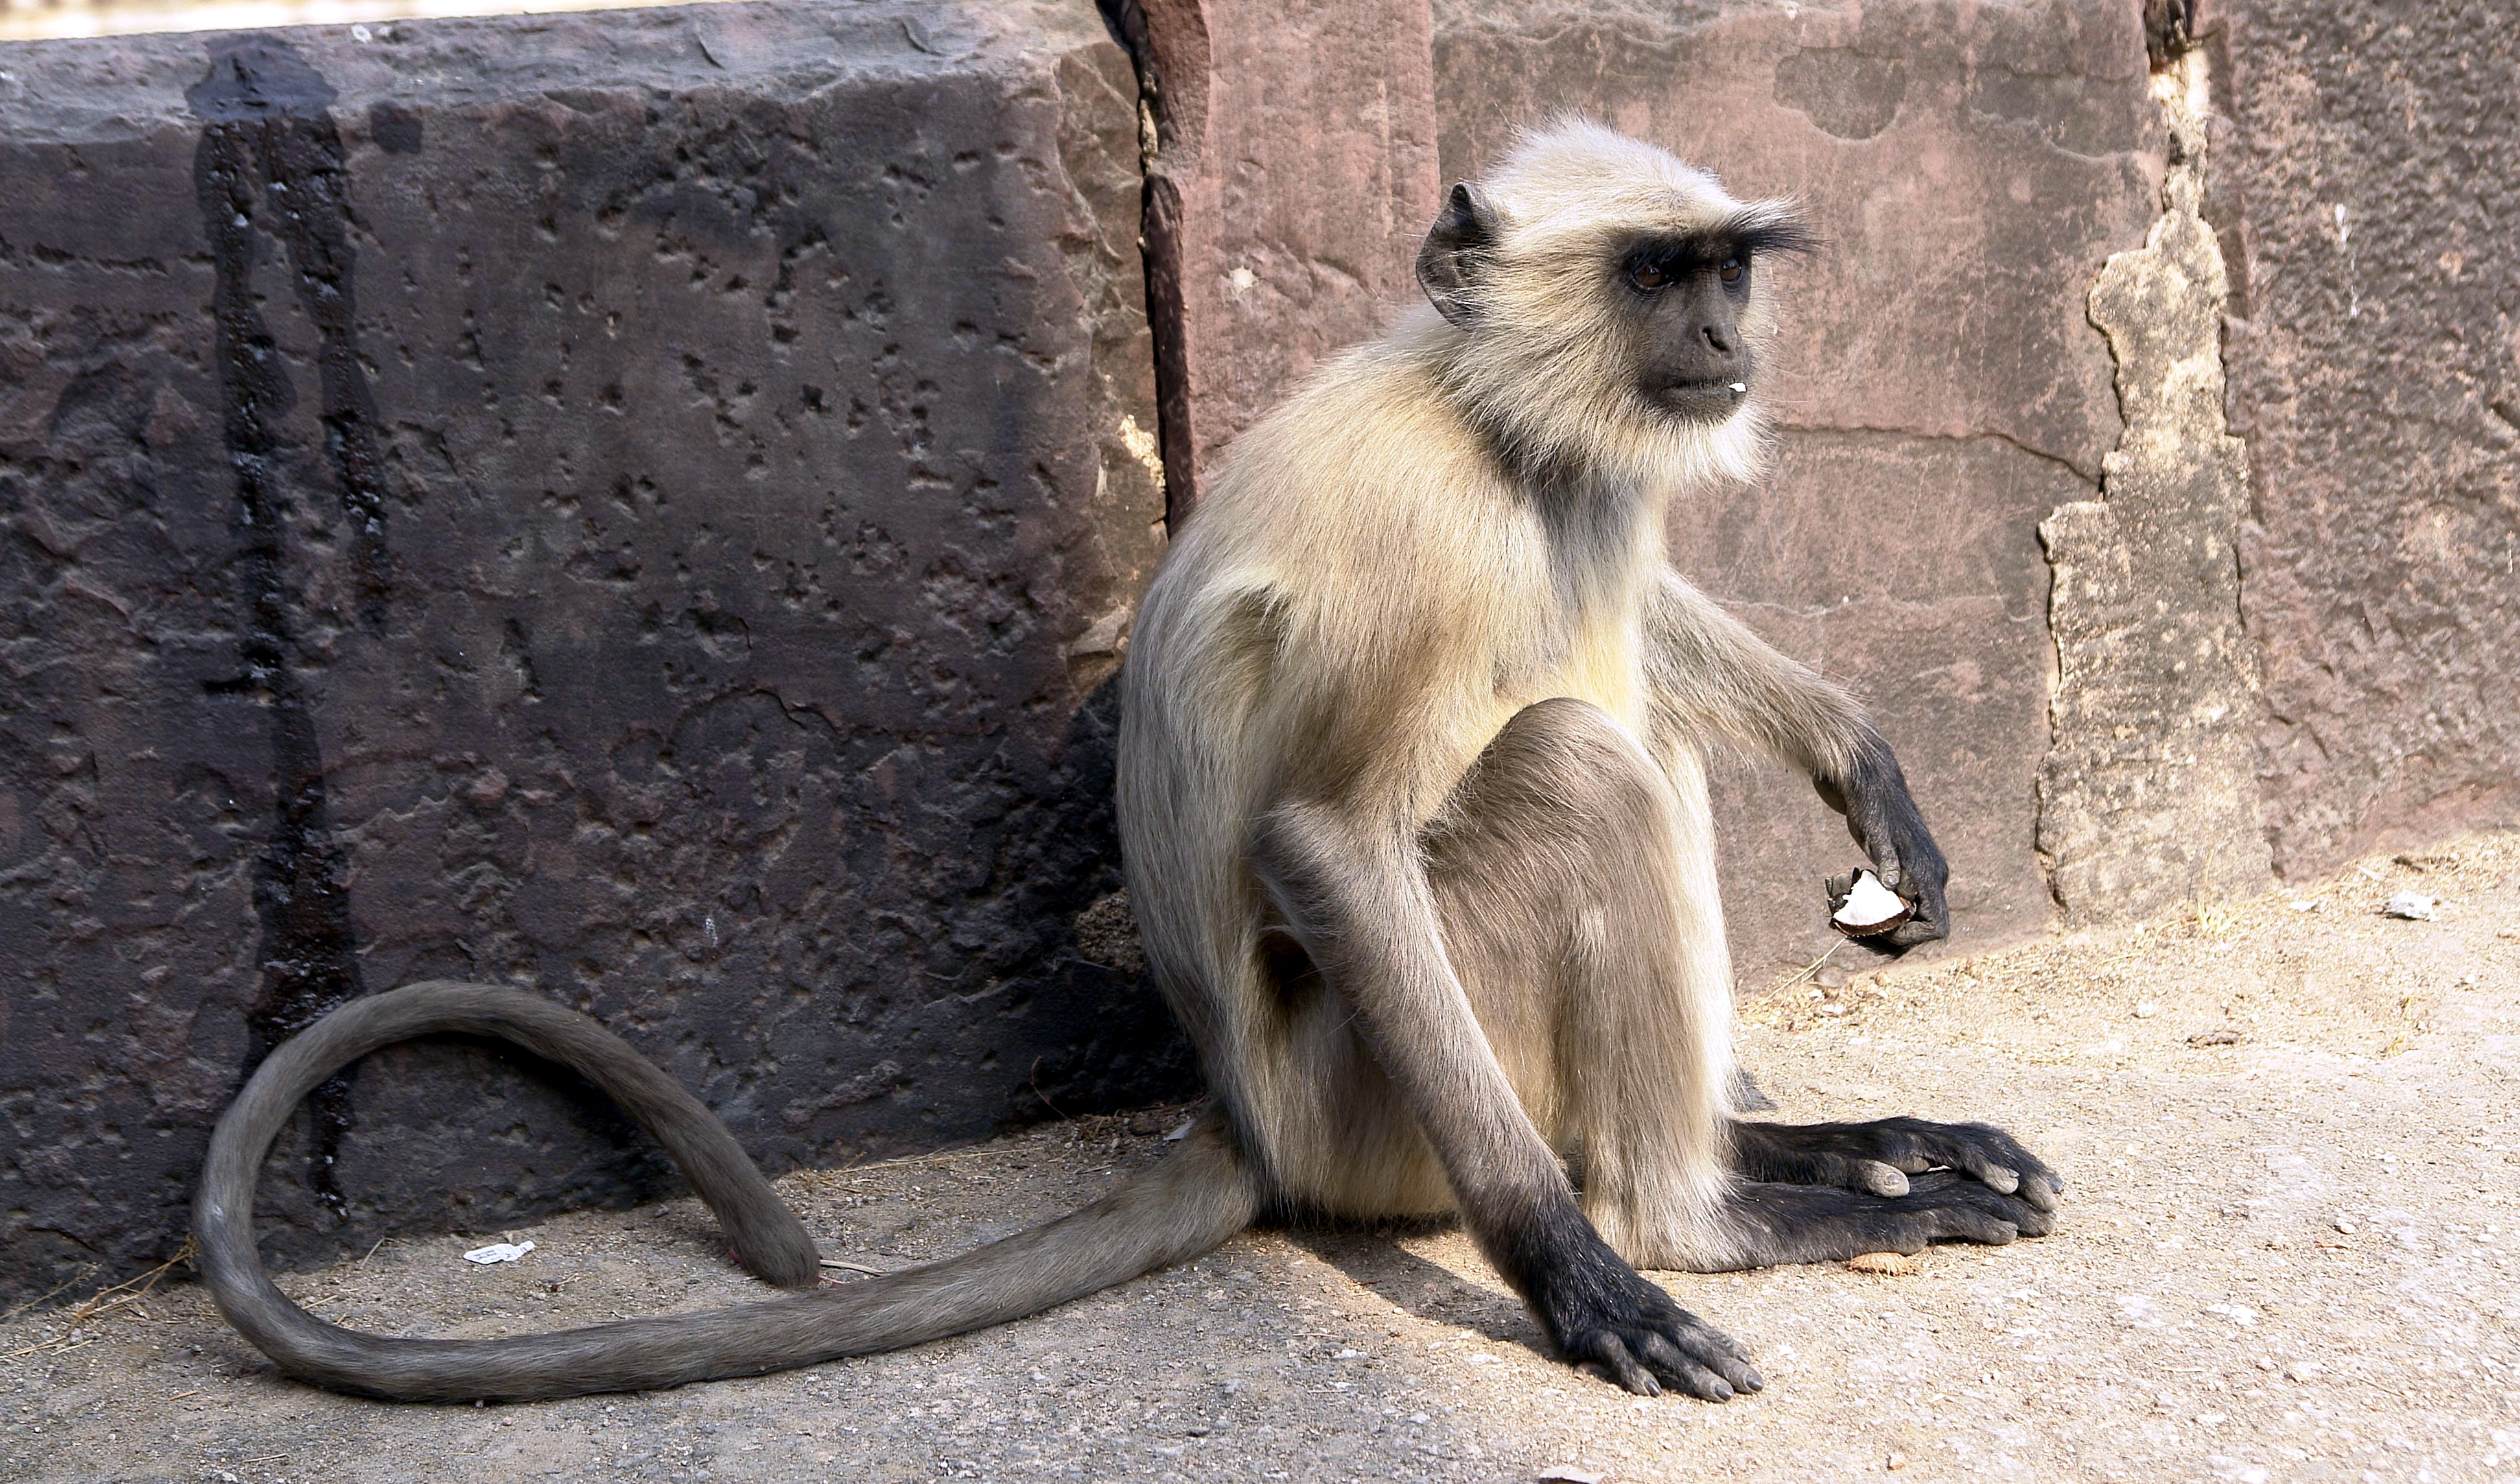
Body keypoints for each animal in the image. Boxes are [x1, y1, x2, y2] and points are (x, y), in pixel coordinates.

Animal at [192, 119, 2059, 1404]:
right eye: (1656, 273)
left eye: (1728, 267)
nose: (1728, 335)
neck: (1486, 413)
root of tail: (1251, 1118)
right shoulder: (1430, 534)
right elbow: (1325, 841)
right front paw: (1576, 1279)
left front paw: (1864, 767)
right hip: (1374, 1099)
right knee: (1580, 763)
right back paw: (1698, 1213)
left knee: (1631, 723)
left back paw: (1806, 1143)